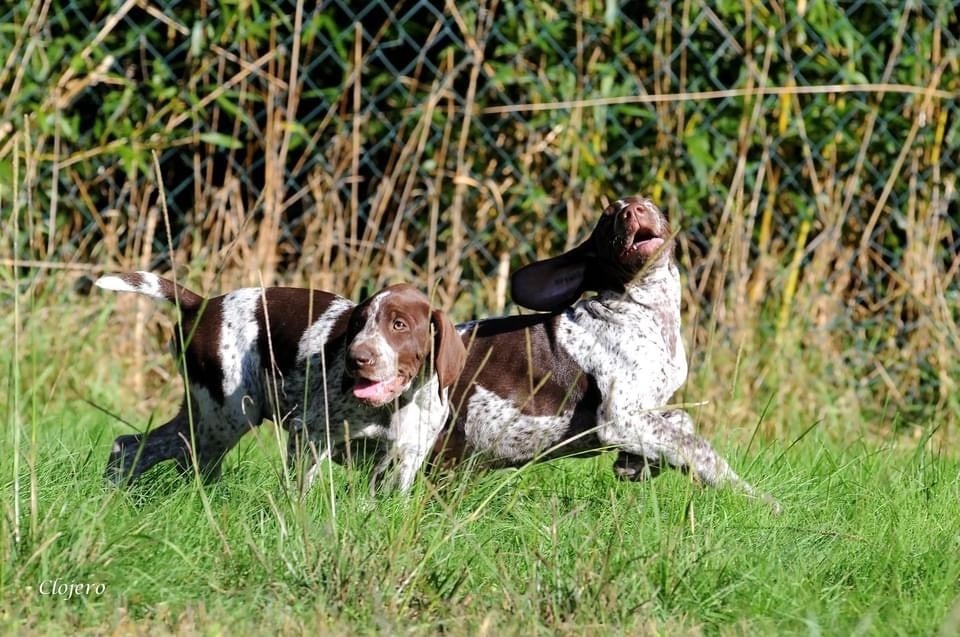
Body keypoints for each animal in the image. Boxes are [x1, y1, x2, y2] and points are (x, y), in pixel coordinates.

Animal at [96, 274, 464, 492]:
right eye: (358, 323)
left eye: (399, 324)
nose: (356, 357)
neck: (398, 403)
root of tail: (200, 304)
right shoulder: (310, 436)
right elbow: (300, 490)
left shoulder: (405, 460)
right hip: (228, 416)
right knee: (189, 461)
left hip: (205, 413)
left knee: (132, 446)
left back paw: (113, 494)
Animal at [436, 196, 780, 510]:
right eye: (607, 219)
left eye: (646, 201)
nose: (632, 211)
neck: (645, 311)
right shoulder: (619, 417)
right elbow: (700, 449)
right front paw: (756, 499)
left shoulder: (646, 411)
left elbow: (681, 421)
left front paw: (635, 464)